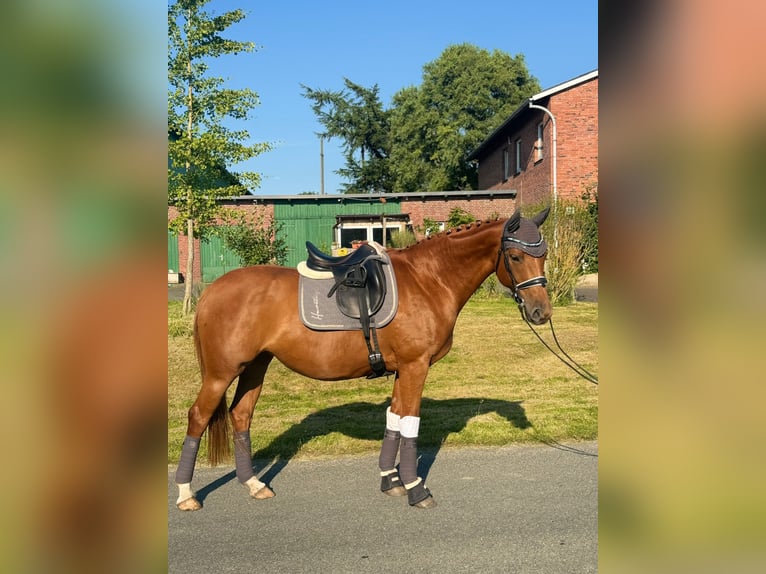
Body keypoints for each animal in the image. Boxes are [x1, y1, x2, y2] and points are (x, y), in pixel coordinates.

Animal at [177, 208, 552, 512]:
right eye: (515, 256)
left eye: (544, 254)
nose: (541, 312)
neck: (429, 279)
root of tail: (211, 291)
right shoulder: (416, 367)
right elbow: (411, 424)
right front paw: (416, 489)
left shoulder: (403, 369)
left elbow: (395, 419)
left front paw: (391, 481)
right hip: (221, 373)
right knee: (198, 417)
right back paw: (185, 494)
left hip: (255, 366)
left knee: (241, 416)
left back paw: (254, 484)